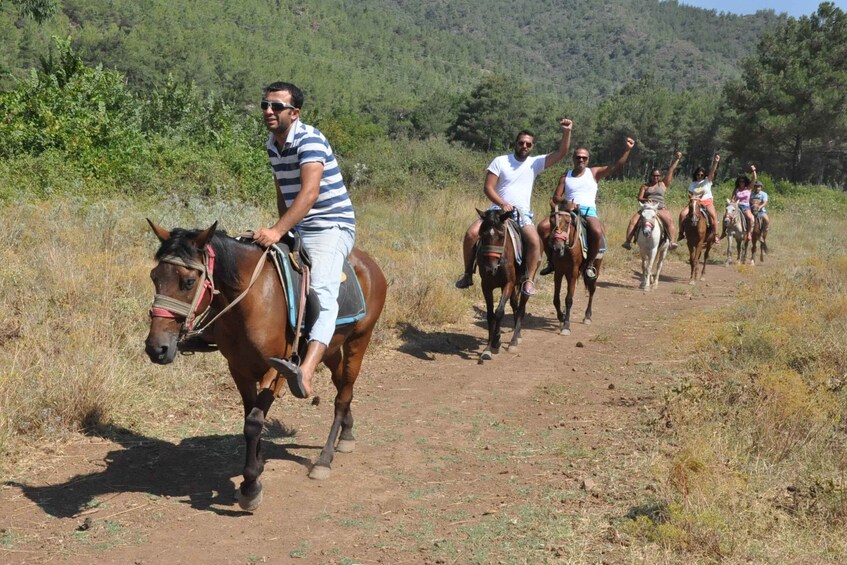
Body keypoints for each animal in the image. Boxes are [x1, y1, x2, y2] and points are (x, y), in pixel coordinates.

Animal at [143, 221, 388, 512]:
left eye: (188, 281)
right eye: (154, 277)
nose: (156, 348)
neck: (253, 300)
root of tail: (371, 264)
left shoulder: (277, 371)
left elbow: (254, 422)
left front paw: (250, 485)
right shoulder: (239, 369)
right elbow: (249, 418)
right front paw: (257, 466)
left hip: (359, 340)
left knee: (343, 395)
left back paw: (324, 459)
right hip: (331, 348)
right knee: (342, 386)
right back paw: (347, 434)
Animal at [476, 208, 528, 362]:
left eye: (501, 236)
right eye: (482, 235)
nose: (490, 269)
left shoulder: (508, 284)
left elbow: (499, 311)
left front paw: (496, 342)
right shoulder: (486, 286)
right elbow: (490, 315)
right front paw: (489, 348)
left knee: (520, 308)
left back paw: (514, 340)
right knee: (515, 305)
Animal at [548, 203, 600, 334]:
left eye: (567, 222)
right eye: (551, 222)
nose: (557, 248)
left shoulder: (573, 272)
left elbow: (569, 299)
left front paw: (566, 325)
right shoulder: (559, 272)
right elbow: (556, 299)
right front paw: (561, 317)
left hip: (596, 267)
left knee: (592, 290)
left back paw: (587, 316)